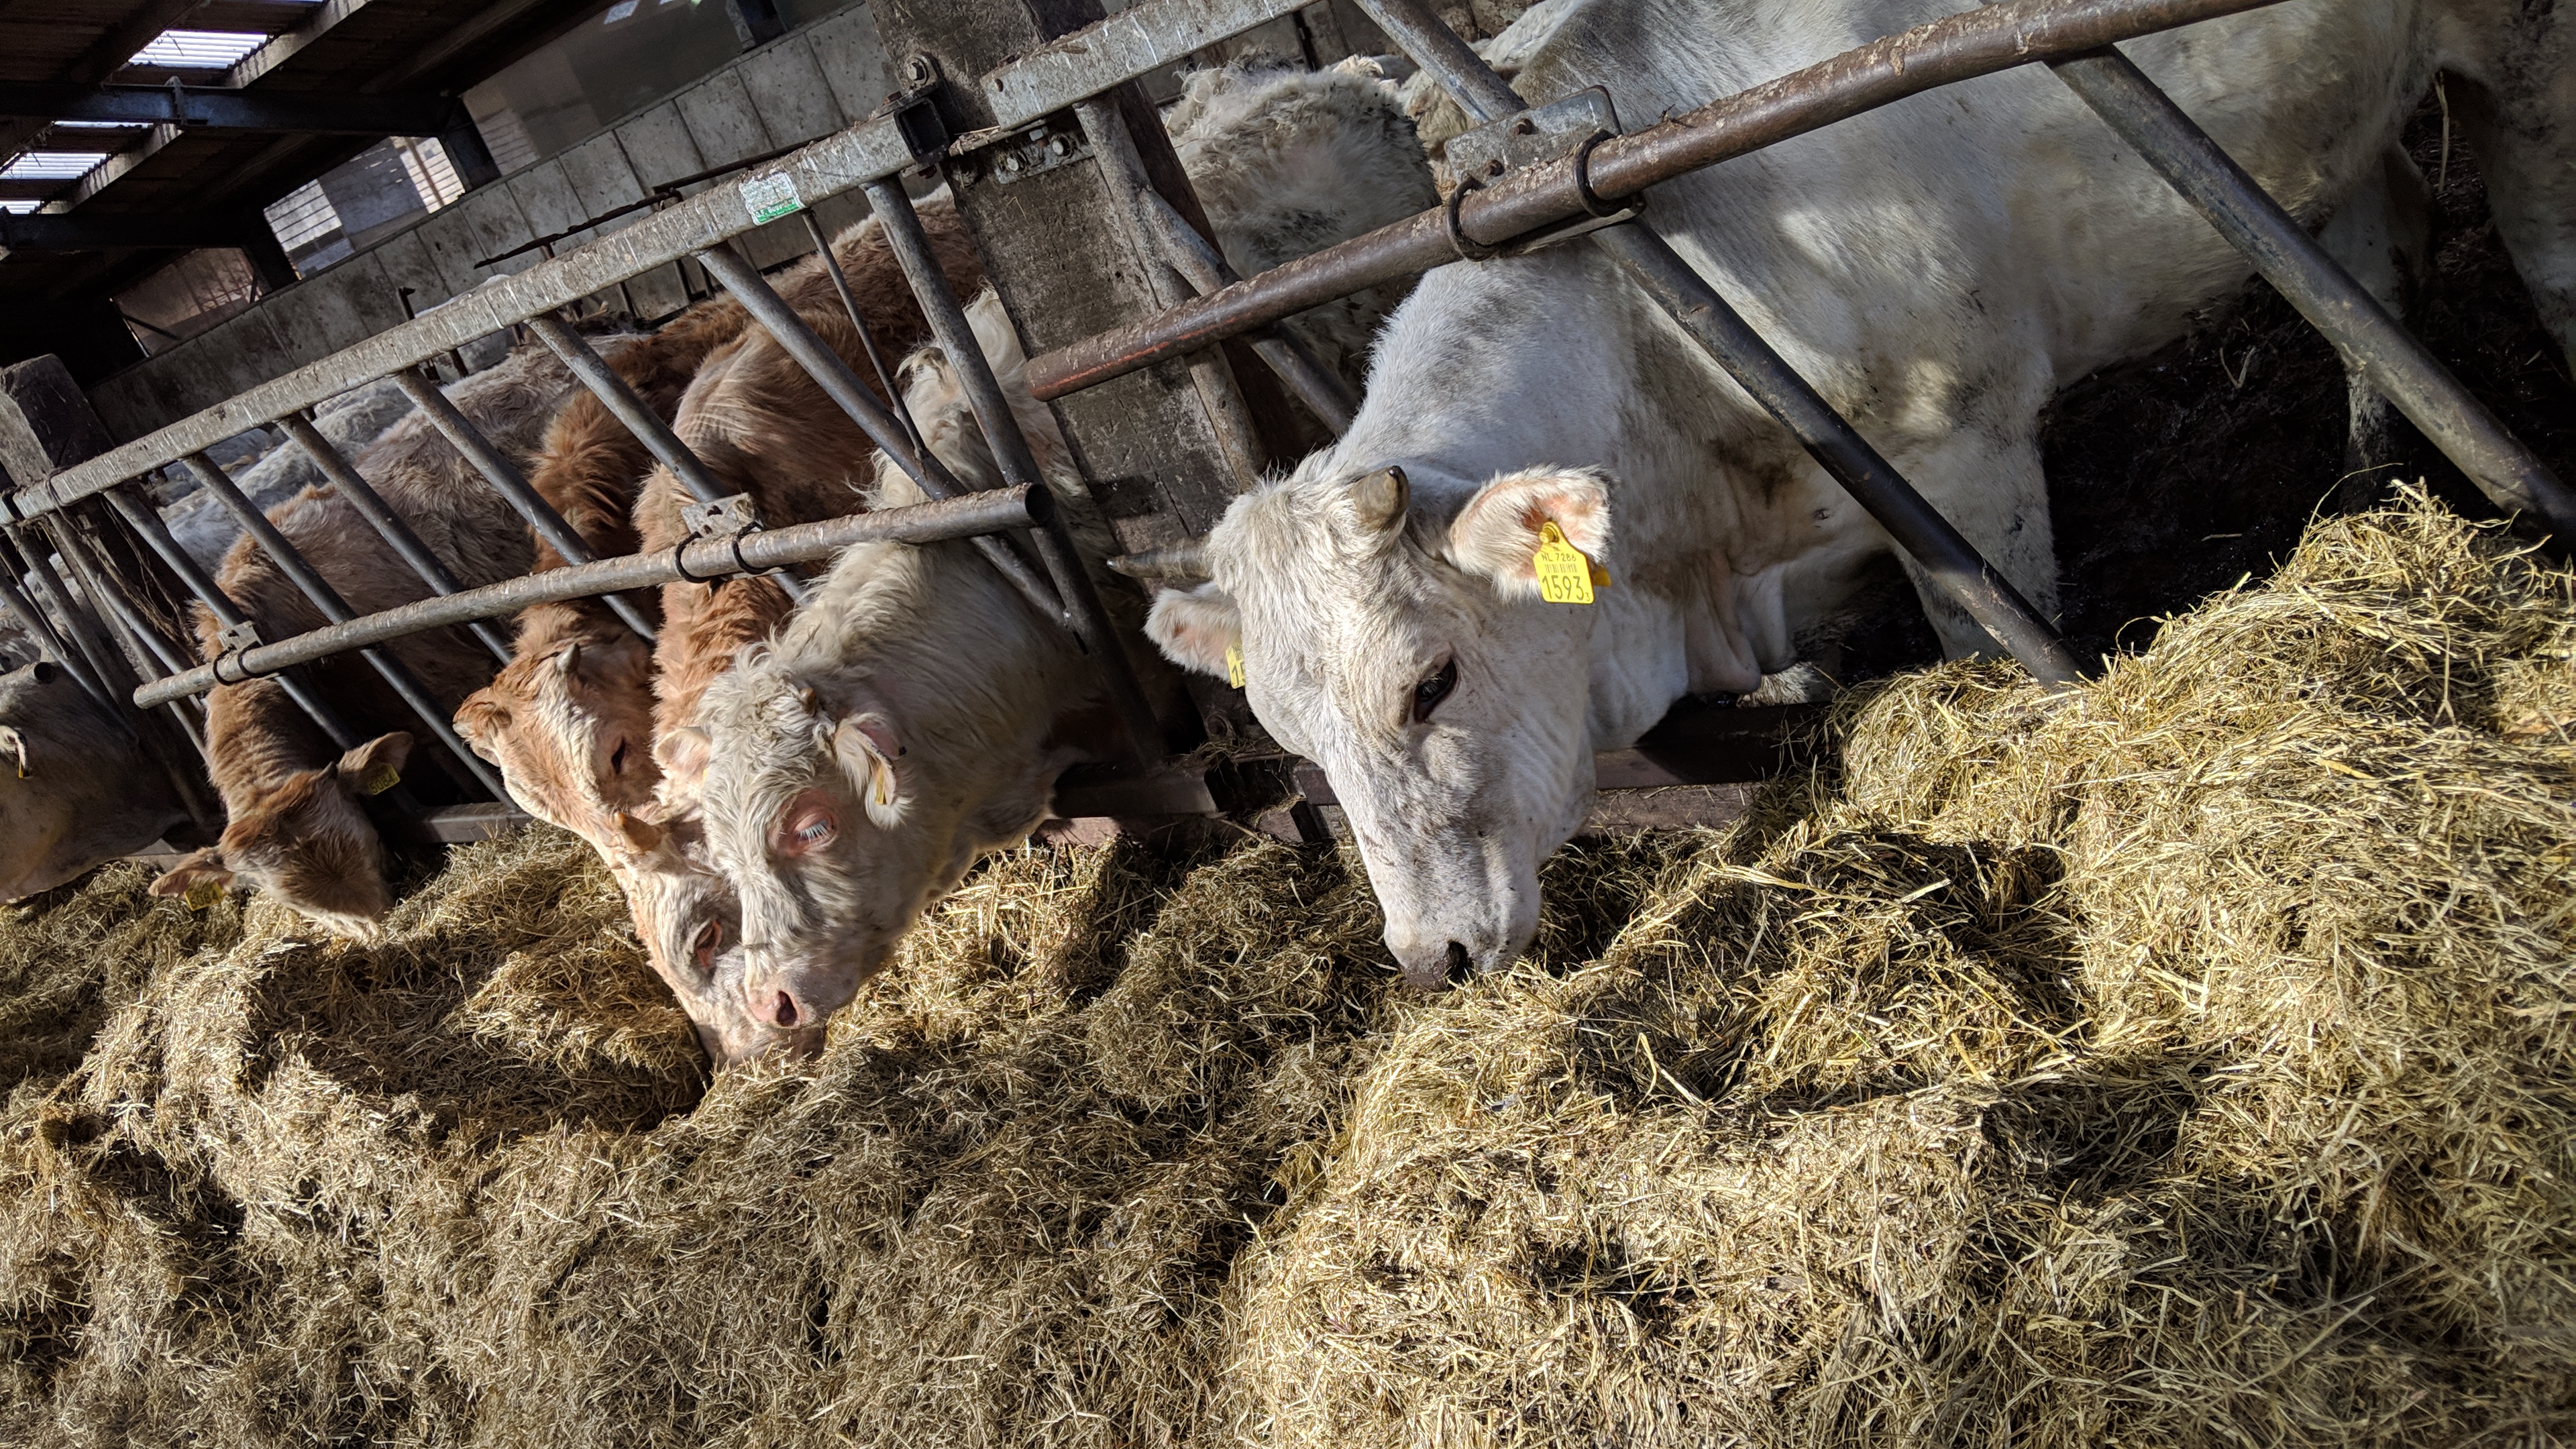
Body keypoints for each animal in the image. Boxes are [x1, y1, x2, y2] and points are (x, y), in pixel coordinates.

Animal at [1138, 0, 2576, 988]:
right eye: (1286, 732)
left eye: (1431, 680)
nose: (1427, 960)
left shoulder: (1959, 454)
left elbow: (1991, 652)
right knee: (2374, 252)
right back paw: (2369, 479)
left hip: (2526, 69)